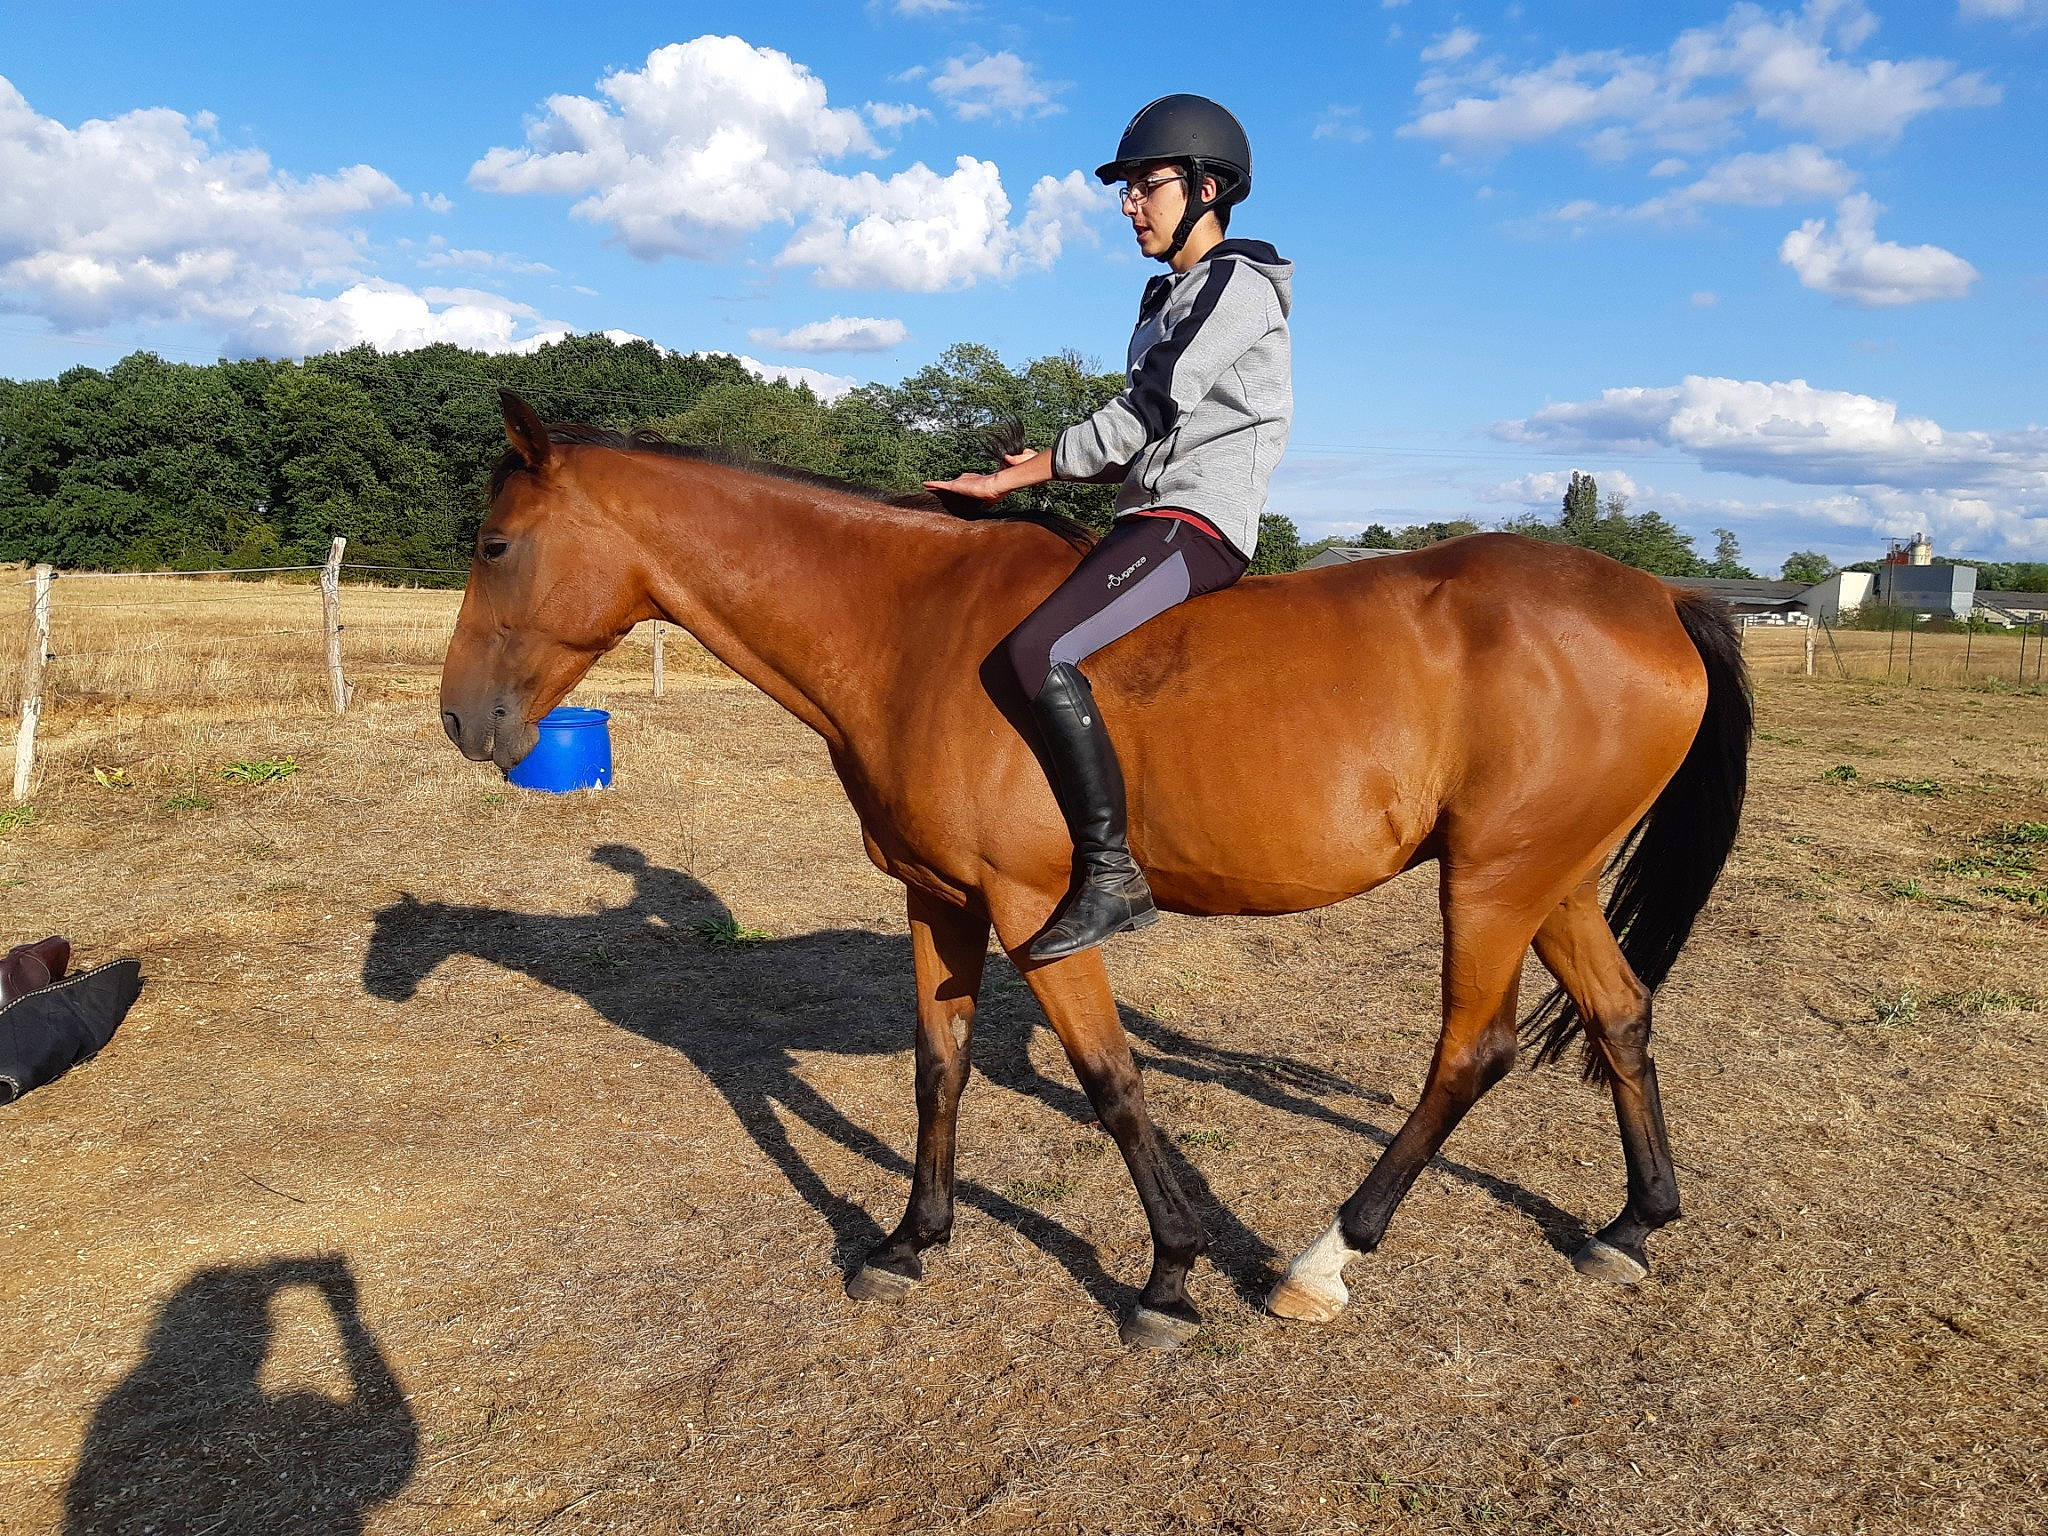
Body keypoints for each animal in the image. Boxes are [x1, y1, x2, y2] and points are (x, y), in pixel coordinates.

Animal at [436, 390, 1750, 1350]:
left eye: (497, 545)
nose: (461, 722)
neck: (909, 627)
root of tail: (1659, 594)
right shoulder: (939, 902)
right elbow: (939, 1069)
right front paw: (909, 1244)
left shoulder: (1036, 913)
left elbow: (1112, 1083)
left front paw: (1167, 1279)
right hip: (1546, 877)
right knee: (1619, 1014)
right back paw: (1631, 1226)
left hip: (1487, 882)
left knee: (1469, 1054)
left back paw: (1322, 1263)